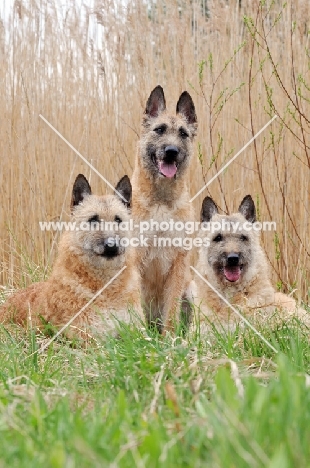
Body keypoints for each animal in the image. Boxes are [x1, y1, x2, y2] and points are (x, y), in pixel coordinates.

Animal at [0, 174, 144, 338]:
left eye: (118, 219)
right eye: (93, 220)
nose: (111, 246)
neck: (105, 284)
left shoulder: (137, 332)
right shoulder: (86, 336)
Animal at [132, 85, 197, 332]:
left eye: (183, 134)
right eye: (159, 130)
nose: (171, 151)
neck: (161, 200)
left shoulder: (179, 263)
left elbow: (171, 307)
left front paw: (169, 336)